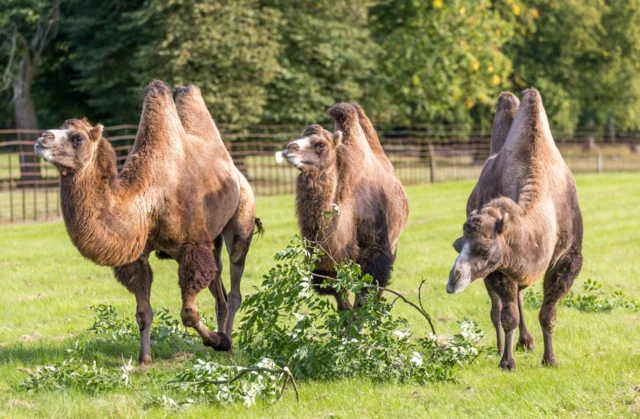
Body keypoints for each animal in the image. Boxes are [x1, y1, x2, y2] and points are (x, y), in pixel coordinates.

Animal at [33, 80, 260, 362]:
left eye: (77, 137)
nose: (42, 138)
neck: (150, 202)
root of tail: (236, 171)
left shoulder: (192, 246)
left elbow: (188, 313)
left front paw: (218, 341)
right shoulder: (138, 256)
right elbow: (143, 313)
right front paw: (145, 359)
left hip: (241, 219)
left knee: (234, 283)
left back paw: (227, 345)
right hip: (214, 237)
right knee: (219, 285)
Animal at [280, 103, 410, 310]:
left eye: (321, 144)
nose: (289, 147)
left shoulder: (376, 250)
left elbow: (363, 299)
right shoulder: (327, 265)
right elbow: (343, 303)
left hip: (394, 241)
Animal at [448, 88, 584, 370]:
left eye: (484, 249)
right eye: (457, 245)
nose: (453, 279)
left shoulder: (569, 257)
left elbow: (548, 312)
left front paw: (550, 358)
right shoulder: (498, 266)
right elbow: (507, 314)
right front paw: (507, 361)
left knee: (519, 295)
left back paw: (527, 341)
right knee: (496, 309)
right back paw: (502, 346)